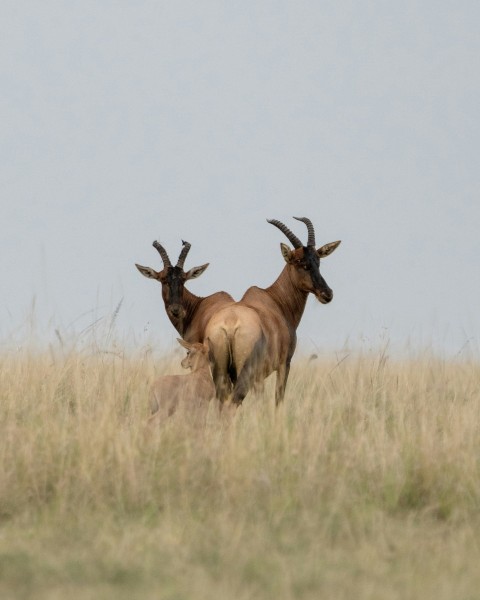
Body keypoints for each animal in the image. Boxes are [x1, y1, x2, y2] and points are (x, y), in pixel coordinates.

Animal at [204, 218, 340, 406]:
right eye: (300, 262)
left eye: (318, 261)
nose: (327, 294)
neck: (275, 299)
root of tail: (230, 324)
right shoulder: (284, 364)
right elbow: (278, 398)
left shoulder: (259, 377)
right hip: (245, 373)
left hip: (221, 374)